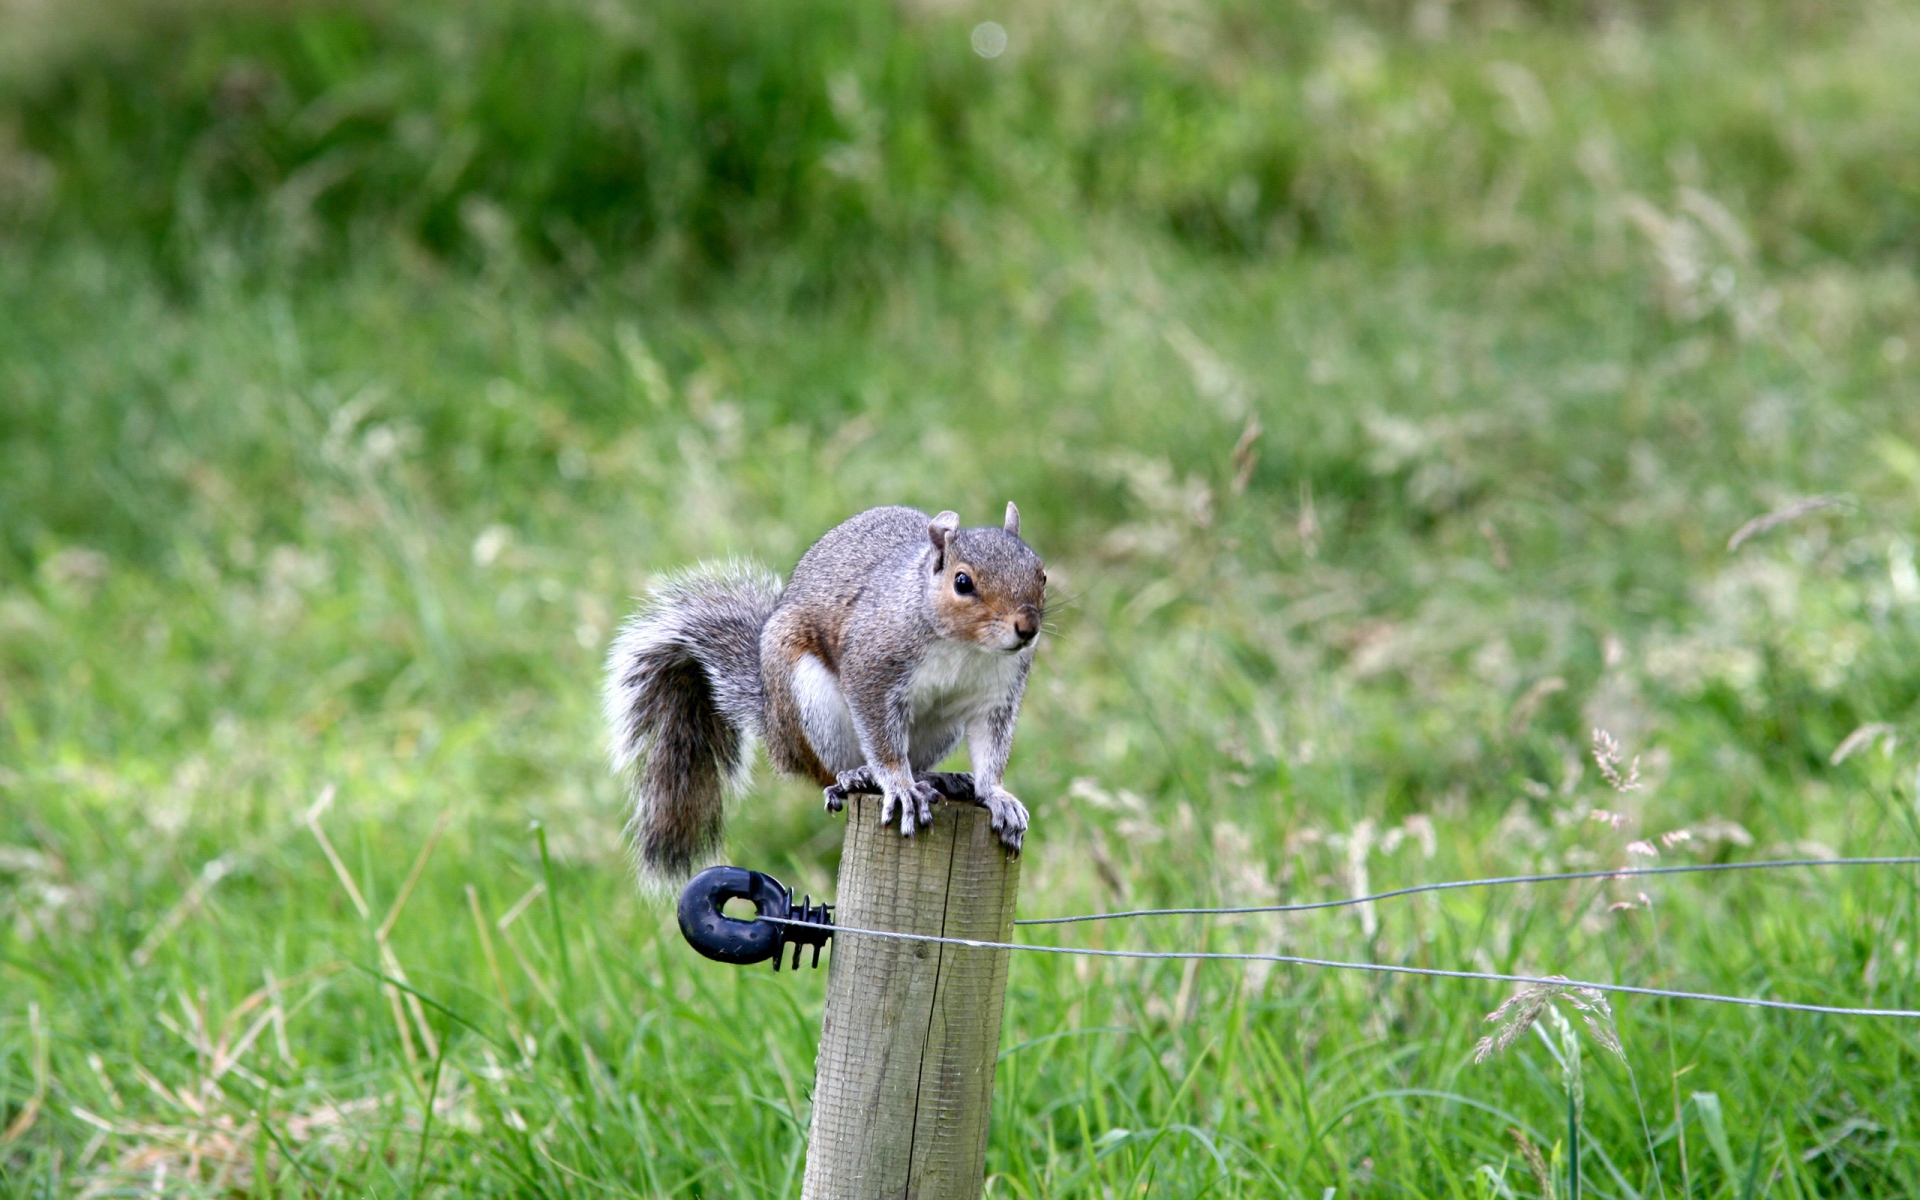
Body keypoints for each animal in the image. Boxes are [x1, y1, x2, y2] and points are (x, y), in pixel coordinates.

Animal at [604, 504, 1047, 885]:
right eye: (962, 582)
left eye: (1041, 575)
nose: (1027, 628)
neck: (965, 646)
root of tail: (775, 729)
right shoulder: (872, 667)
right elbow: (881, 739)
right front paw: (899, 786)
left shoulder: (998, 695)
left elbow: (991, 748)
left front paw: (996, 795)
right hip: (809, 701)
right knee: (823, 771)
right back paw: (857, 776)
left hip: (941, 727)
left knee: (918, 762)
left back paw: (938, 777)